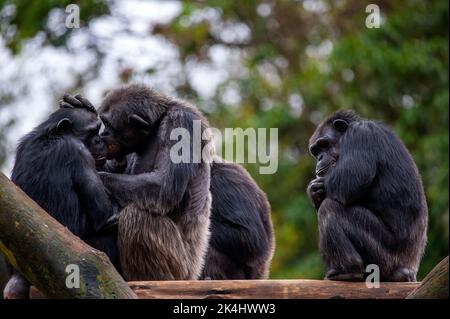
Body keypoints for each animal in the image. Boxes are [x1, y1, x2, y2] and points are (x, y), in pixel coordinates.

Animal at [2, 95, 118, 300]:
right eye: (91, 132)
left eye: (98, 129)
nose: (98, 140)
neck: (51, 135)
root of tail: (19, 276)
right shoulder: (79, 151)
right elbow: (105, 214)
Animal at [308, 110, 428, 282]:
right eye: (316, 151)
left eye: (324, 144)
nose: (320, 157)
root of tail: (409, 270)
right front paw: (314, 191)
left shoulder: (361, 135)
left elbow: (349, 182)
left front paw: (316, 188)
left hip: (385, 256)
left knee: (330, 209)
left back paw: (346, 270)